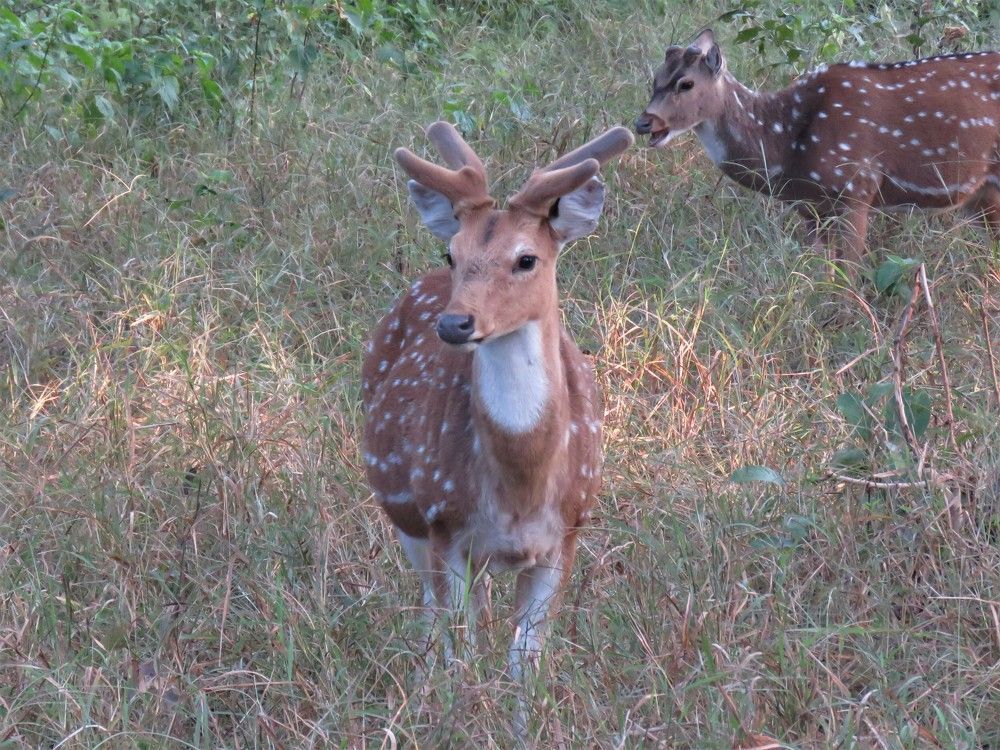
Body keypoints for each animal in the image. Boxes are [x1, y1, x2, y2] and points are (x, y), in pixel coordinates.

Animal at [361, 120, 633, 730]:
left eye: (526, 258)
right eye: (453, 251)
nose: (455, 323)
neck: (521, 484)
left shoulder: (568, 532)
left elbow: (524, 660)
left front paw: (524, 725)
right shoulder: (442, 521)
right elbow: (459, 647)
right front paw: (457, 718)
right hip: (405, 510)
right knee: (431, 612)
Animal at [635, 29, 1000, 271]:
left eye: (686, 83)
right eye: (655, 79)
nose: (644, 122)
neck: (787, 147)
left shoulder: (857, 188)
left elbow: (848, 275)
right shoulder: (810, 208)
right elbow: (823, 273)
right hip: (983, 194)